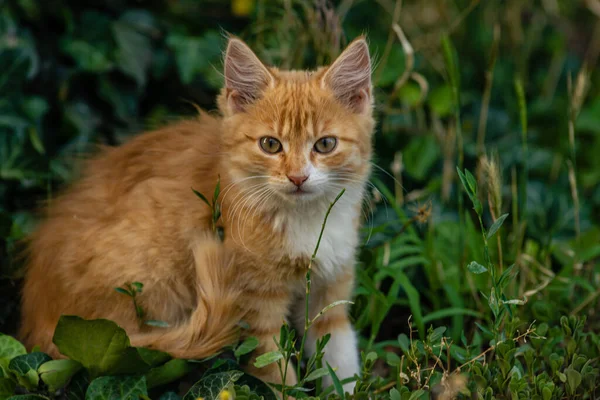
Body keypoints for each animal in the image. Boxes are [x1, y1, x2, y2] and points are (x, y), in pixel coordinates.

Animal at [19, 36, 376, 392]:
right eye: (271, 145)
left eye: (325, 144)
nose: (298, 177)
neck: (305, 220)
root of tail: (41, 315)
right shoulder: (254, 306)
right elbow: (275, 373)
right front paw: (289, 391)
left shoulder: (332, 288)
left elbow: (340, 356)